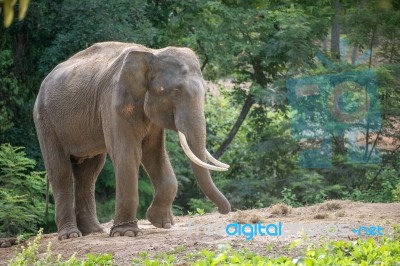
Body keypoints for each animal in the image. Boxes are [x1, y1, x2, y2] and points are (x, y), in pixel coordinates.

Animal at [34, 41, 231, 239]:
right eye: (176, 92)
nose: (223, 211)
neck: (151, 53)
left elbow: (153, 153)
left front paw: (162, 223)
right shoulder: (113, 101)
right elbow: (128, 153)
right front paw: (126, 233)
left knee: (89, 172)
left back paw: (94, 231)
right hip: (45, 120)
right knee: (61, 170)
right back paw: (70, 235)